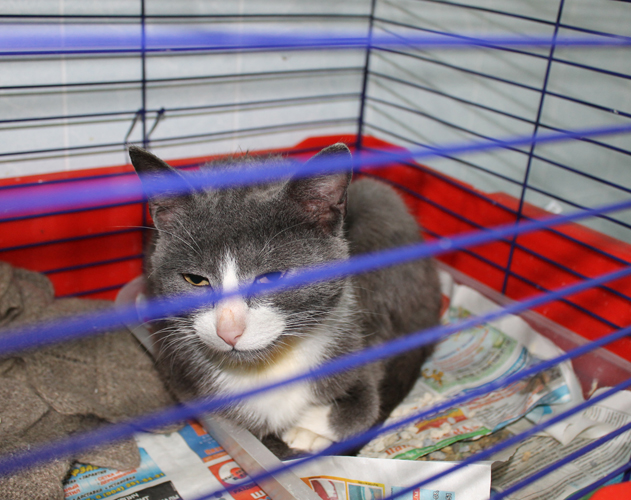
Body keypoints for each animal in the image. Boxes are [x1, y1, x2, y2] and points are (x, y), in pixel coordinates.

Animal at [129, 143, 441, 458]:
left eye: (272, 277)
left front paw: (304, 427)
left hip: (380, 202)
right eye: (195, 279)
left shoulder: (356, 340)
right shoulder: (179, 375)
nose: (228, 331)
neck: (270, 365)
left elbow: (365, 407)